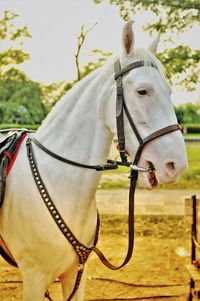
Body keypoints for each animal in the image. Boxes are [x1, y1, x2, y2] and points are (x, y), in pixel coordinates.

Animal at [0, 22, 188, 298]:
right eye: (142, 91)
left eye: (170, 92)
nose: (176, 165)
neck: (59, 182)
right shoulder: (34, 279)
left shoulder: (76, 274)